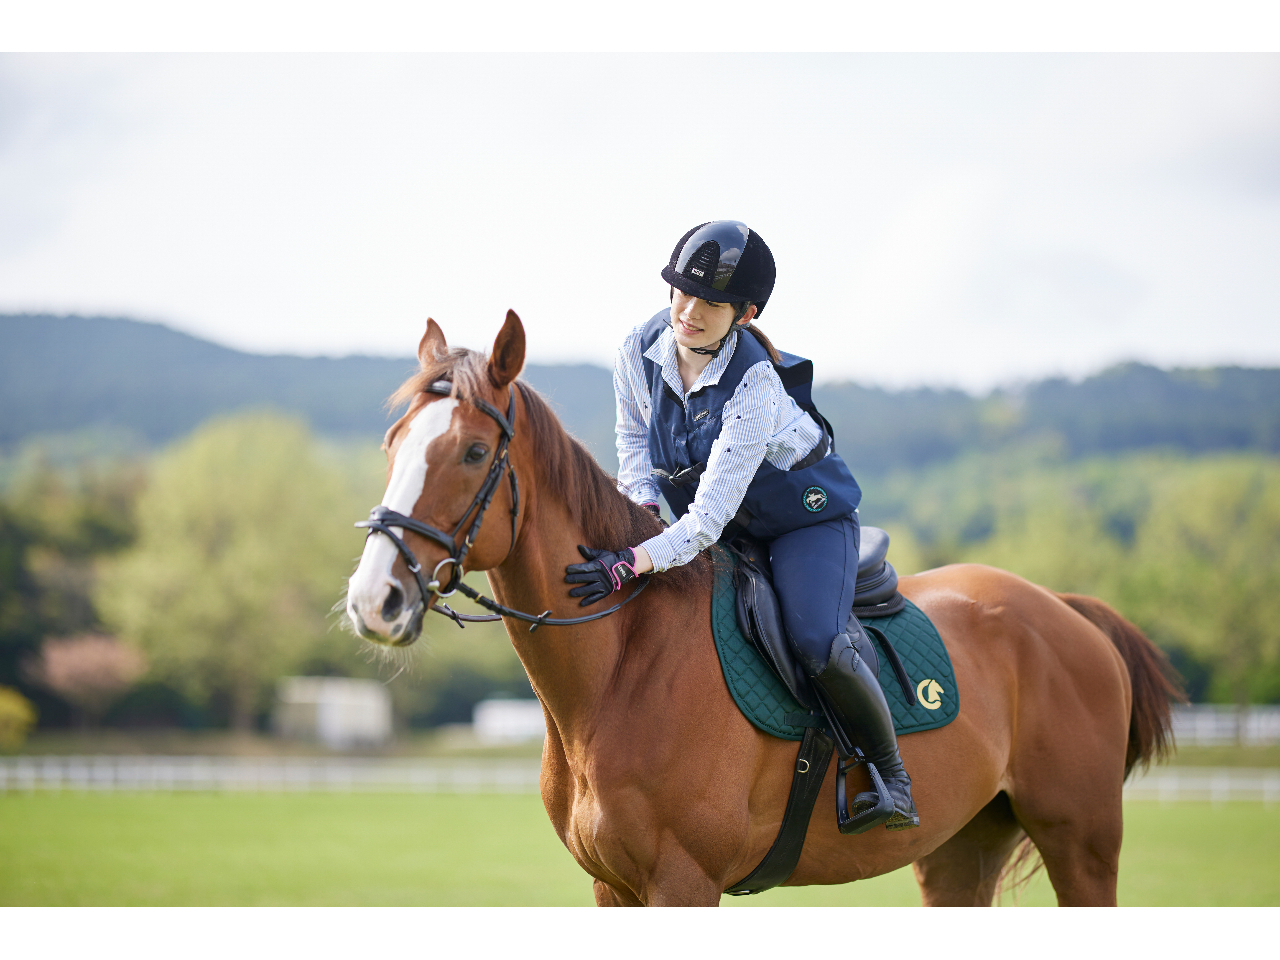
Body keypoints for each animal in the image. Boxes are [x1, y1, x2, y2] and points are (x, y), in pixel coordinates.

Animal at [345, 311, 1181, 907]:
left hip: (1082, 845)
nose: (373, 600)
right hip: (960, 852)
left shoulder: (682, 883)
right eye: (391, 445)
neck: (620, 672)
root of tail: (1065, 611)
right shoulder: (613, 888)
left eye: (472, 454)